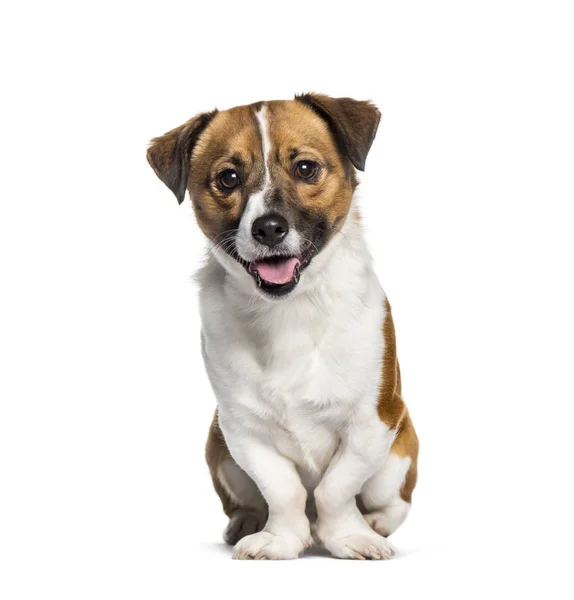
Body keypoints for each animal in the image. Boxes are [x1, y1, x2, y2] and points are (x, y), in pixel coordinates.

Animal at [147, 94, 418, 564]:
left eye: (305, 168)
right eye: (228, 178)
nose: (268, 227)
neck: (290, 310)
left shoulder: (373, 422)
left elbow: (334, 489)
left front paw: (349, 536)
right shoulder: (241, 430)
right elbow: (283, 489)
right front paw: (282, 539)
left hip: (397, 461)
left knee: (390, 501)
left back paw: (374, 523)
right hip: (219, 452)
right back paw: (249, 521)